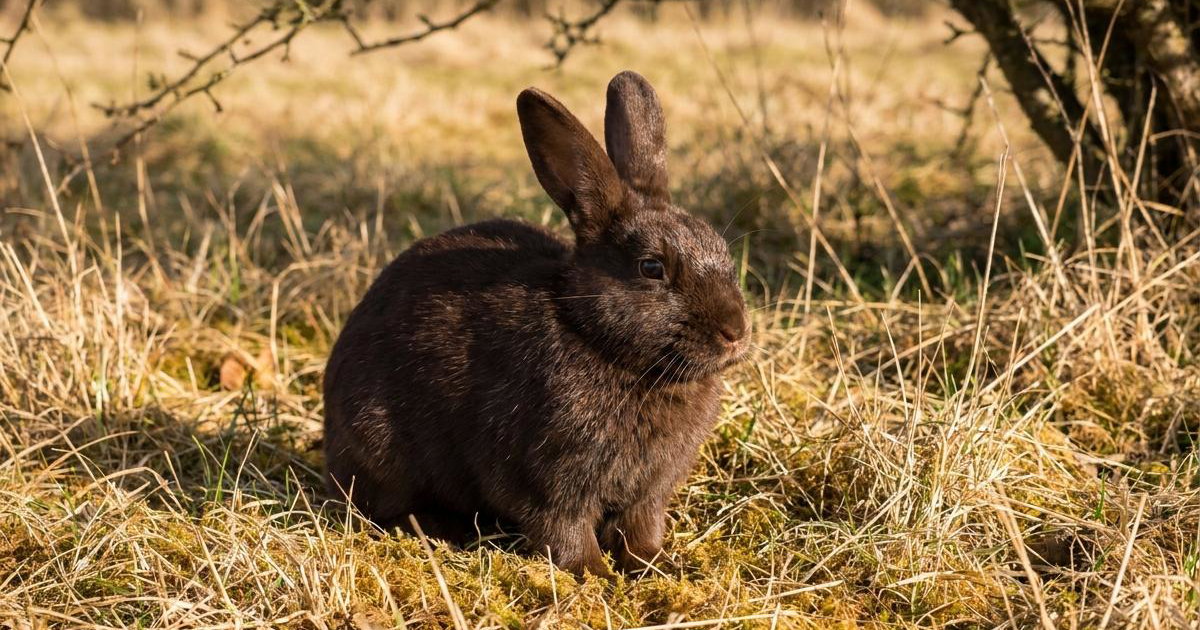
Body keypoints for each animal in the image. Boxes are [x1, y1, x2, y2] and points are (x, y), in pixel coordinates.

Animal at [323, 70, 749, 578]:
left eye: (721, 248)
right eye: (651, 267)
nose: (736, 332)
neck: (594, 336)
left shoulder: (648, 491)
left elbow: (640, 528)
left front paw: (658, 566)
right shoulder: (544, 478)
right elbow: (563, 529)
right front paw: (594, 575)